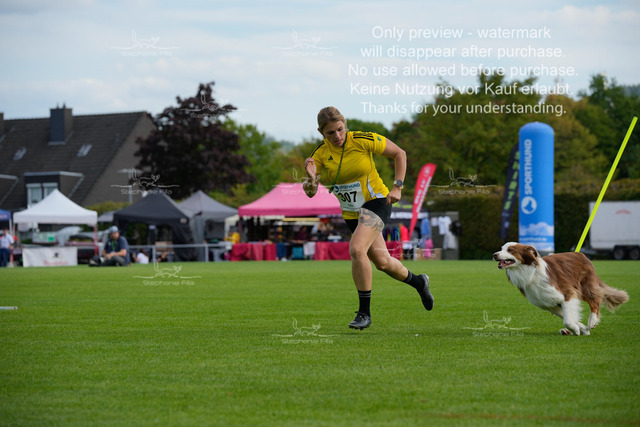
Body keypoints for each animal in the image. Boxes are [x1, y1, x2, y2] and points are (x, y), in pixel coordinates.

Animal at [493, 242, 629, 335]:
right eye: (501, 248)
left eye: (510, 250)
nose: (494, 254)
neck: (530, 273)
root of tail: (581, 254)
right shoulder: (547, 303)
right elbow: (568, 316)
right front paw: (581, 329)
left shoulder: (567, 293)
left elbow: (568, 320)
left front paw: (577, 329)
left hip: (585, 285)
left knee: (595, 301)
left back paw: (592, 321)